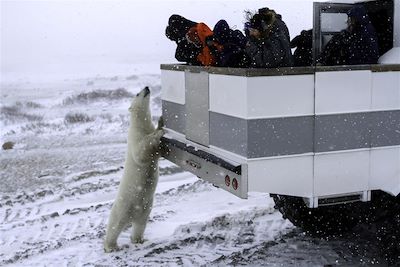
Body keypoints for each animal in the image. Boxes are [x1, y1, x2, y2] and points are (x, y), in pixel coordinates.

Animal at [104, 86, 166, 253]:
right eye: (138, 93)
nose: (147, 87)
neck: (141, 124)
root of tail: (131, 216)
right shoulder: (134, 136)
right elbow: (141, 152)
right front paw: (159, 132)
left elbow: (157, 153)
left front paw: (161, 122)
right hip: (122, 207)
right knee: (114, 226)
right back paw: (110, 246)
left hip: (145, 208)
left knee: (140, 224)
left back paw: (138, 239)